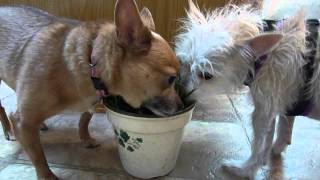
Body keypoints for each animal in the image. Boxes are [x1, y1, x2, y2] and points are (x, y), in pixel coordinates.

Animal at [0, 0, 181, 179]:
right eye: (172, 79)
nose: (181, 106)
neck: (91, 64)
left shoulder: (91, 102)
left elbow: (85, 119)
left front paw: (86, 139)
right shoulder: (22, 122)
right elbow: (38, 156)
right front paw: (46, 176)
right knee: (2, 108)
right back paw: (9, 130)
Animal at [176, 0, 318, 179]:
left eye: (206, 75)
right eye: (182, 63)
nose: (181, 96)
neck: (264, 57)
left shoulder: (263, 111)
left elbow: (258, 144)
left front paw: (245, 169)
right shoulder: (274, 105)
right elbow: (275, 132)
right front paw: (268, 155)